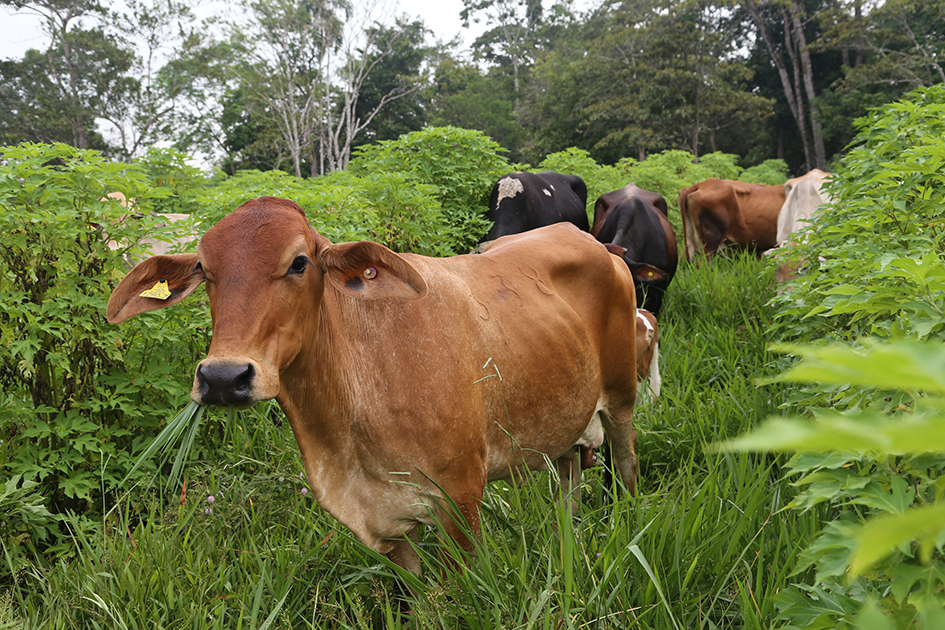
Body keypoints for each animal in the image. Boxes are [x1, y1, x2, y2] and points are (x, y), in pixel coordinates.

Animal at [109, 199, 640, 576]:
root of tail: (598, 245)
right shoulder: (385, 525)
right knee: (569, 483)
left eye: (299, 262)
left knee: (627, 465)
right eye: (204, 269)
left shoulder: (462, 499)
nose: (223, 377)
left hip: (621, 398)